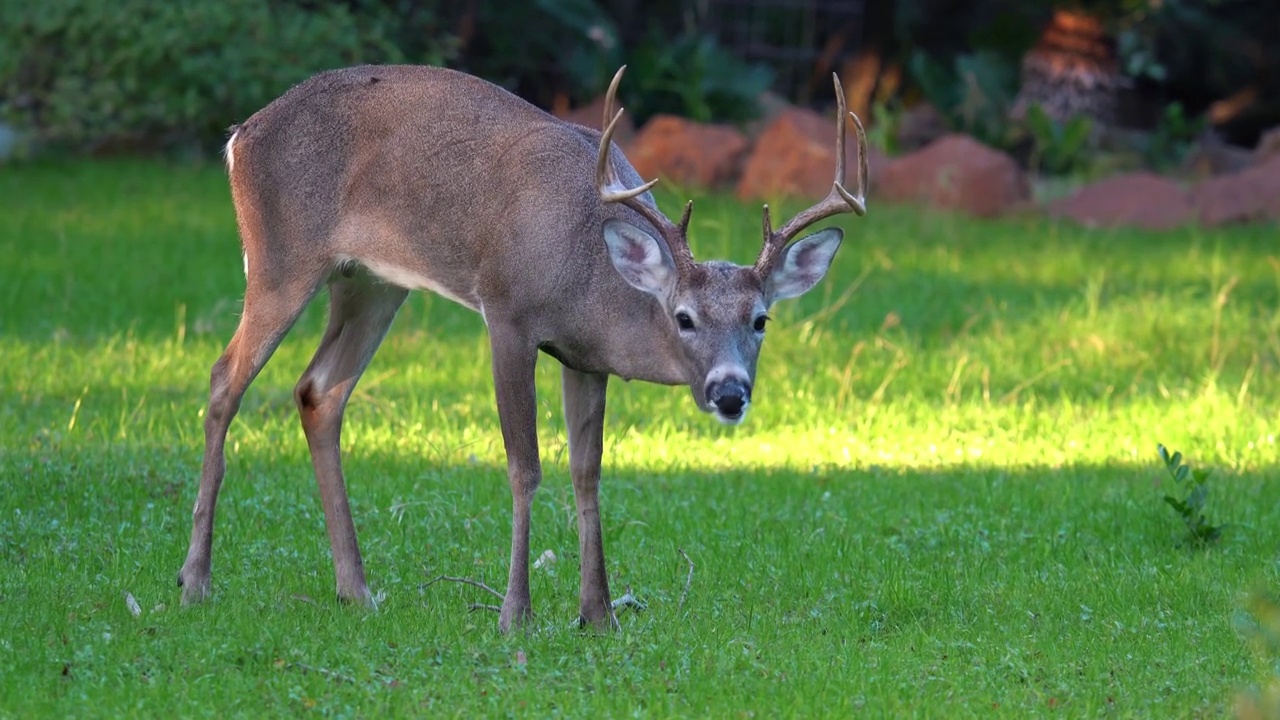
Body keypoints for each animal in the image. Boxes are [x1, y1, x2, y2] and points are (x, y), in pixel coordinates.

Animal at [177, 64, 870, 630]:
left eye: (760, 320)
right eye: (684, 318)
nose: (729, 393)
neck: (589, 271)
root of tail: (239, 137)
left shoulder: (587, 360)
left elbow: (587, 473)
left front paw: (598, 614)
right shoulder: (507, 314)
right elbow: (525, 465)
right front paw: (516, 613)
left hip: (370, 282)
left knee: (318, 391)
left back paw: (357, 591)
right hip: (281, 257)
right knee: (223, 380)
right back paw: (195, 581)